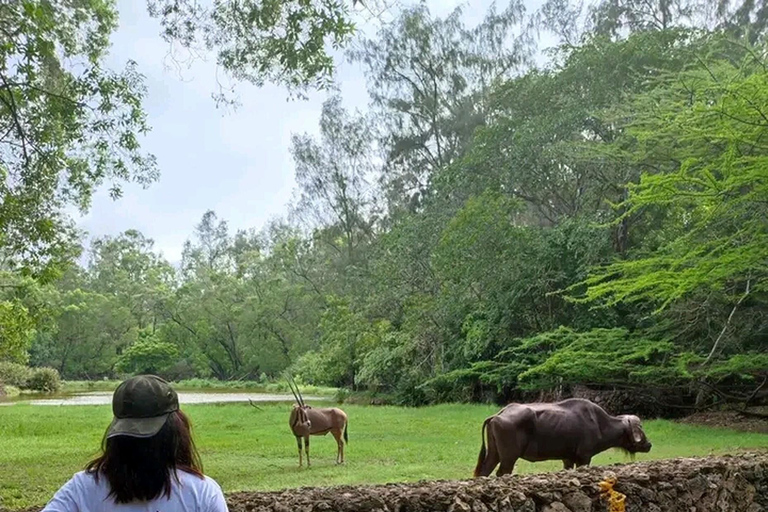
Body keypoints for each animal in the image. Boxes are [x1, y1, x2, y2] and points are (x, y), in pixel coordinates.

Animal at [474, 398, 656, 478]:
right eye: (640, 429)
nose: (648, 445)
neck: (599, 423)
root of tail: (498, 415)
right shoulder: (584, 457)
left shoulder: (567, 458)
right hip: (508, 458)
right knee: (501, 473)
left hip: (494, 454)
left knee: (485, 471)